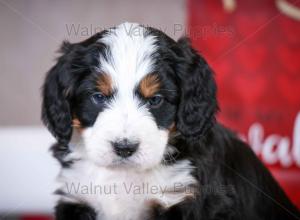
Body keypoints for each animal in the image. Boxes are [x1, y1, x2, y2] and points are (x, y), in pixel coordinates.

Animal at [41, 23, 298, 219]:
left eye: (155, 100)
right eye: (98, 97)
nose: (124, 148)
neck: (125, 175)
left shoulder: (186, 197)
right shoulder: (78, 196)